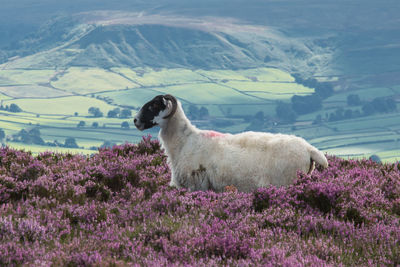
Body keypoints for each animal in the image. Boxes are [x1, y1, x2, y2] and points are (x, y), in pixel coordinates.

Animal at [134, 94, 328, 193]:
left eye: (154, 106)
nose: (135, 120)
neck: (184, 141)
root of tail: (309, 149)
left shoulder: (196, 186)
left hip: (286, 183)